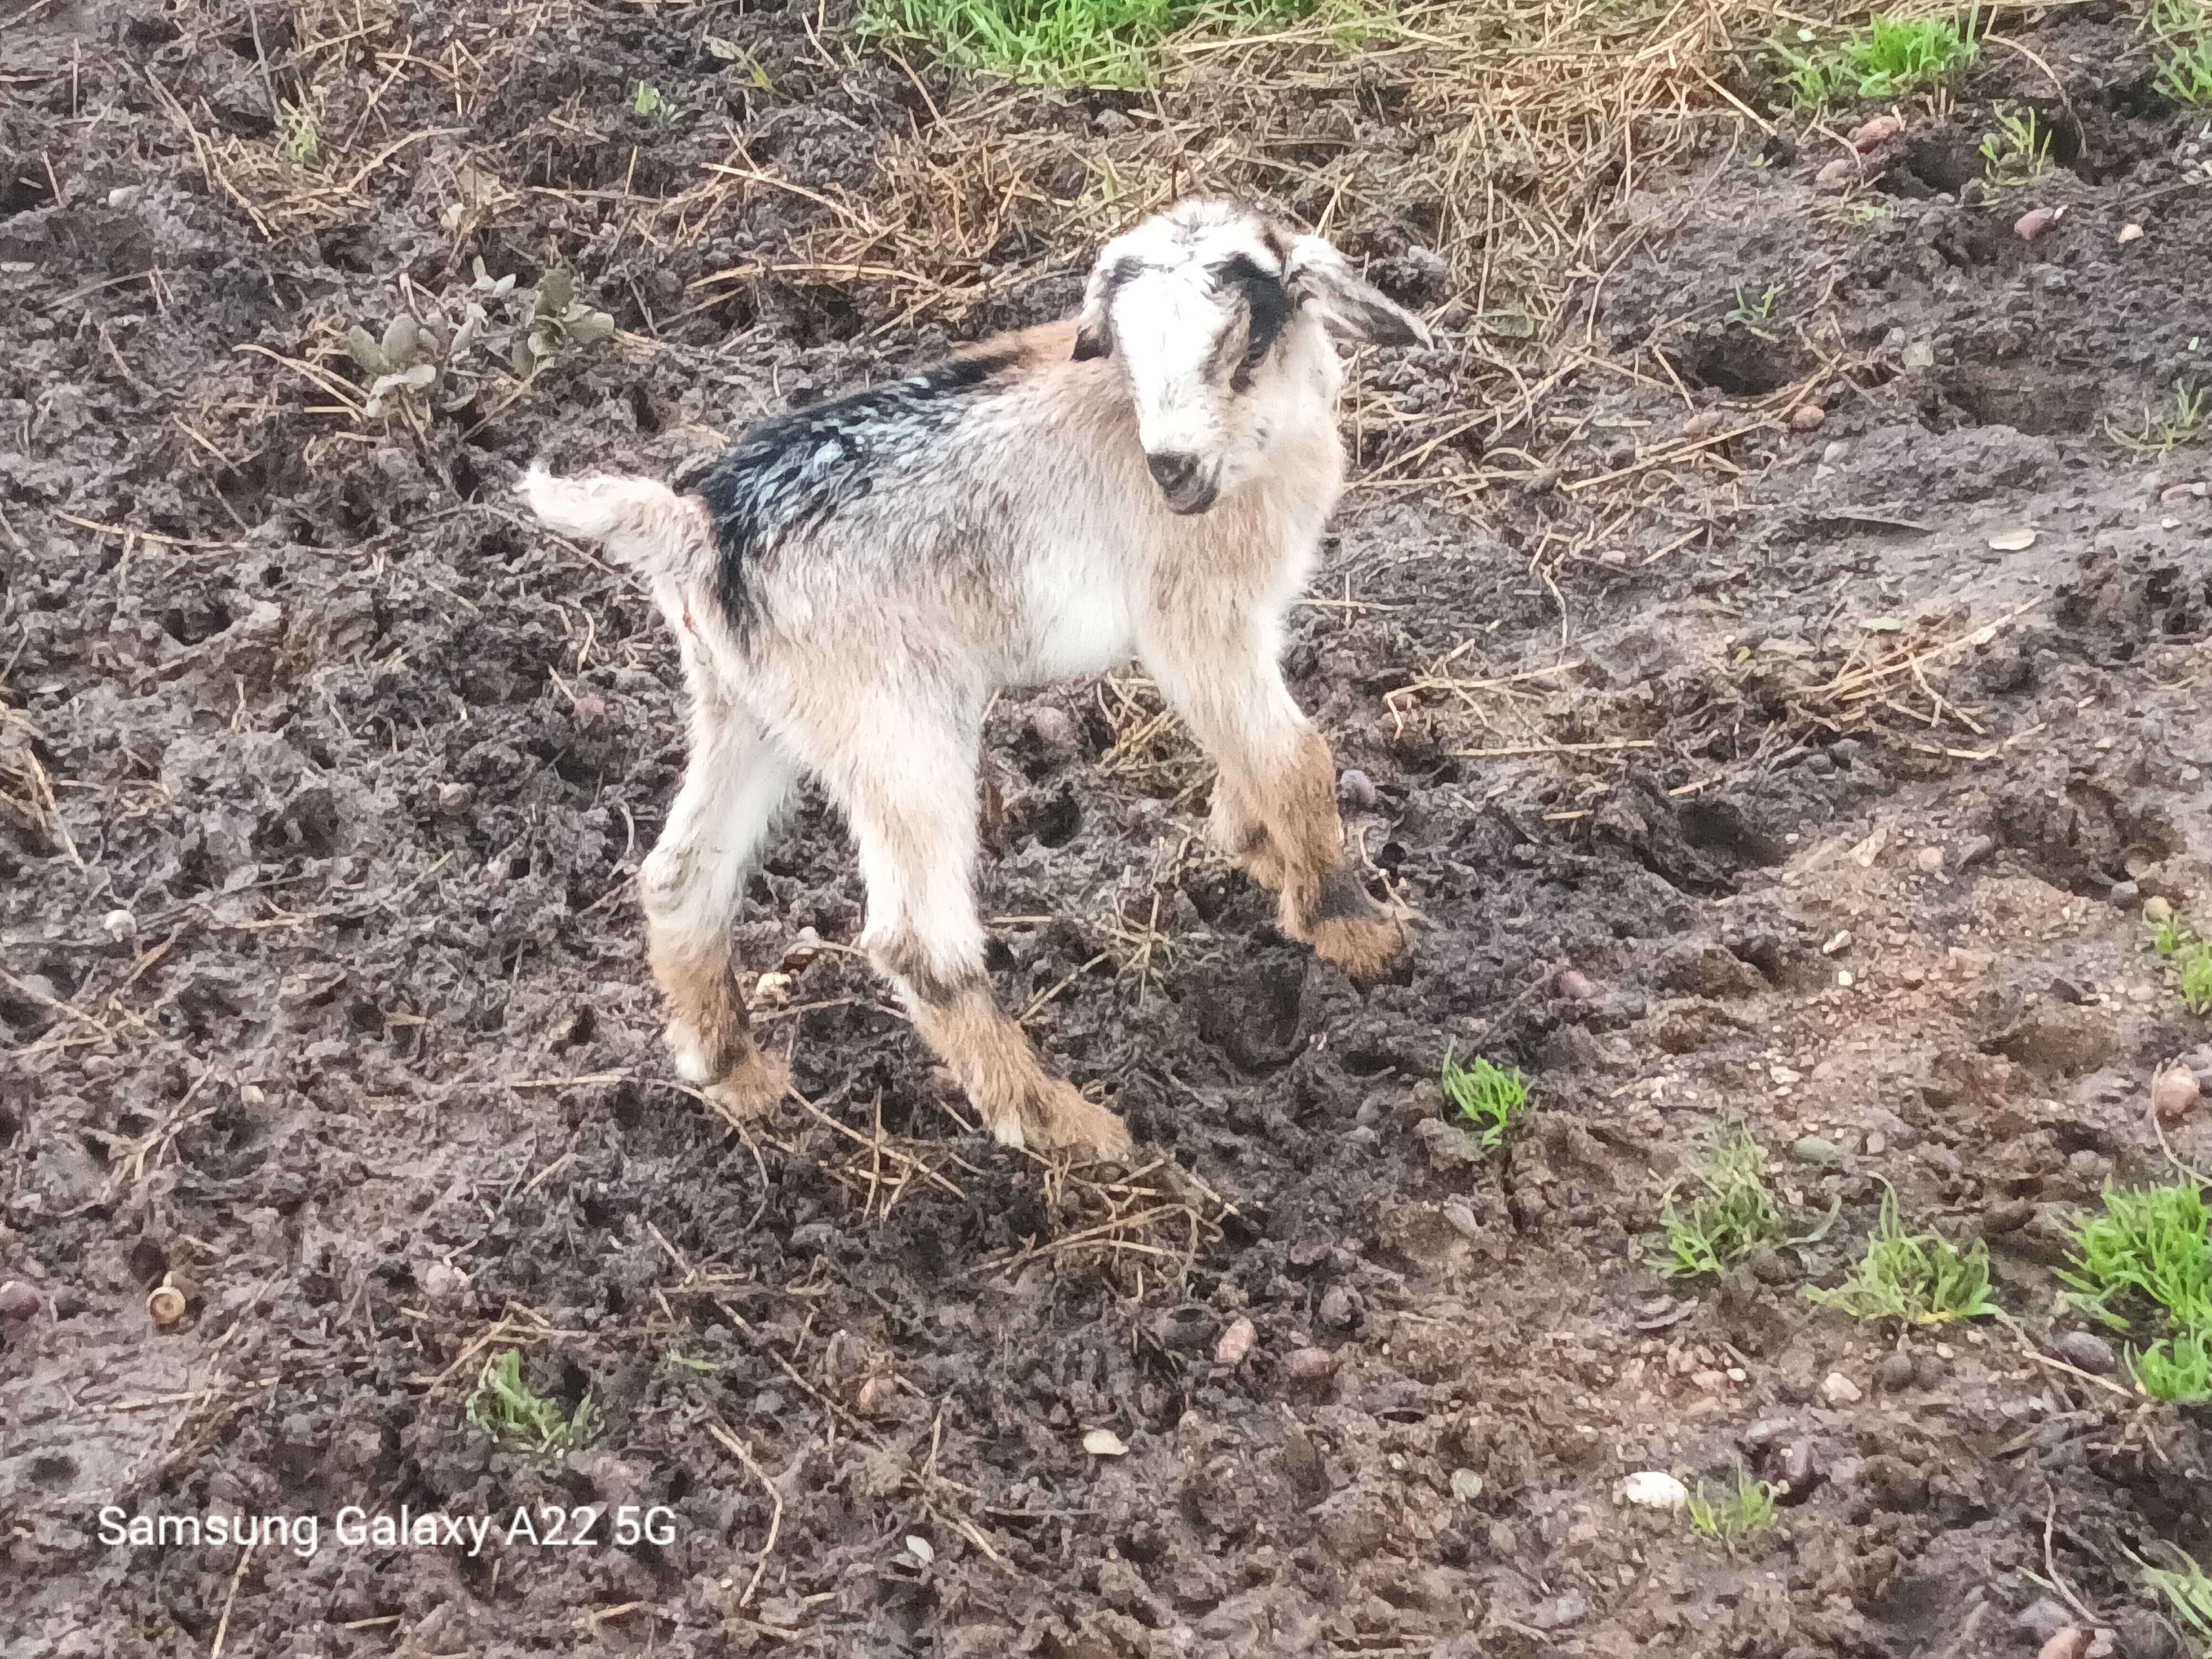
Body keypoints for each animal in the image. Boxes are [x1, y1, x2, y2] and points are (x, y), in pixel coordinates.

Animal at [520, 195, 1425, 1159]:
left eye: (1244, 348)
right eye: (1130, 352)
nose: (1171, 469)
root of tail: (695, 530)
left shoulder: (1243, 627)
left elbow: (1250, 754)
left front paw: (1255, 851)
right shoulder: (1197, 621)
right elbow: (1295, 758)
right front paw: (1353, 930)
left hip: (750, 710)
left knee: (681, 875)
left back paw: (739, 1074)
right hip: (895, 727)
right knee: (917, 944)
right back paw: (1068, 1125)